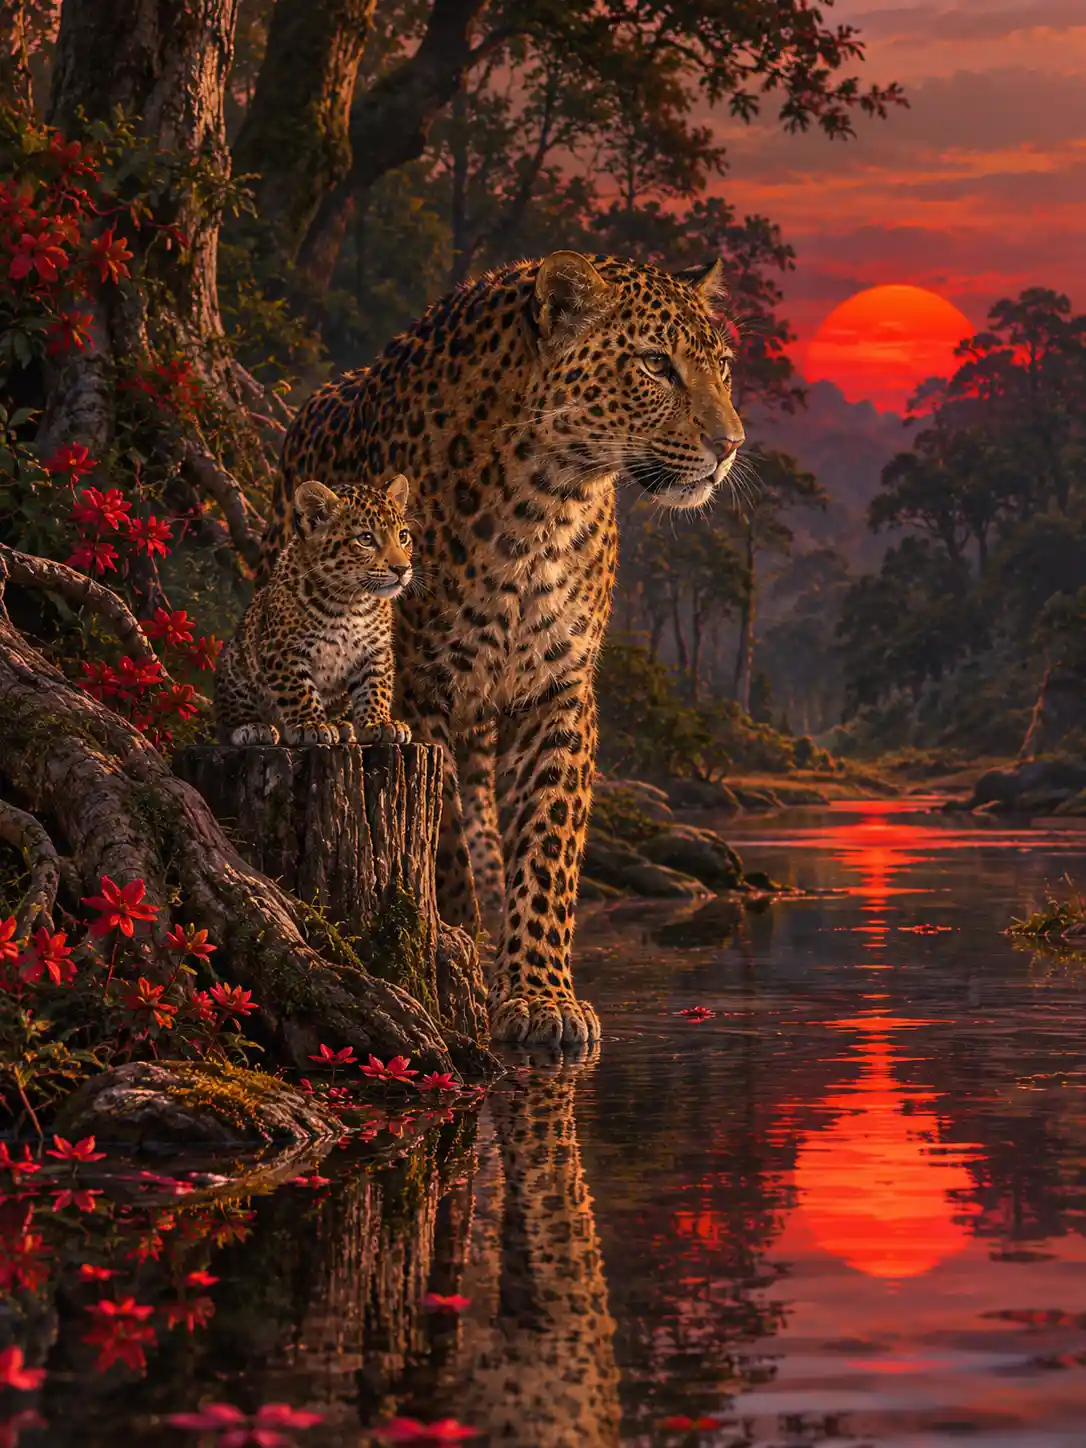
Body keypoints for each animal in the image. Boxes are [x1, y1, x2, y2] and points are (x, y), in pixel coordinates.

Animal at [217, 475, 414, 748]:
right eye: (365, 539)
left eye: (403, 536)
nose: (402, 569)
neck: (350, 602)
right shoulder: (283, 649)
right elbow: (298, 690)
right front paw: (312, 725)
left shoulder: (376, 651)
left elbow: (376, 687)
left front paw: (379, 723)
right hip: (236, 665)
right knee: (230, 720)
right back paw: (254, 728)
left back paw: (341, 726)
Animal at [260, 250, 745, 1048]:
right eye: (656, 365)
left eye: (724, 368)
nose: (729, 445)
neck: (547, 502)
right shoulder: (420, 690)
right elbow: (445, 844)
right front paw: (460, 949)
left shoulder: (559, 691)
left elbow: (549, 849)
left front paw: (543, 997)